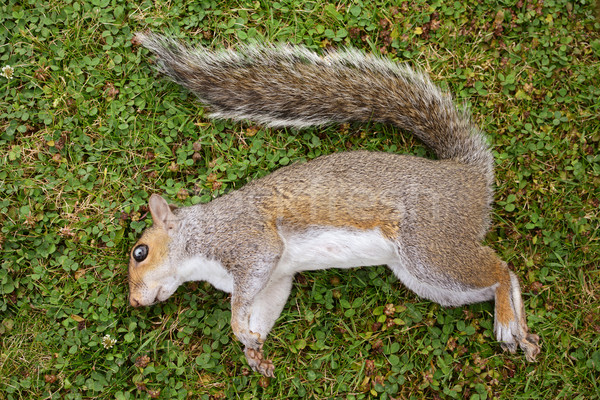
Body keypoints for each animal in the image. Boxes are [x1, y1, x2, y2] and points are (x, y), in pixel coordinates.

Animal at [130, 32, 540, 376]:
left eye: (140, 252)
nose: (133, 303)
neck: (199, 240)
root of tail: (468, 174)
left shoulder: (249, 242)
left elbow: (243, 296)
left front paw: (238, 329)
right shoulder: (276, 277)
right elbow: (265, 309)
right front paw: (254, 350)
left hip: (430, 246)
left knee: (502, 270)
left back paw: (507, 321)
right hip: (423, 276)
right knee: (496, 281)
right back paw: (520, 331)